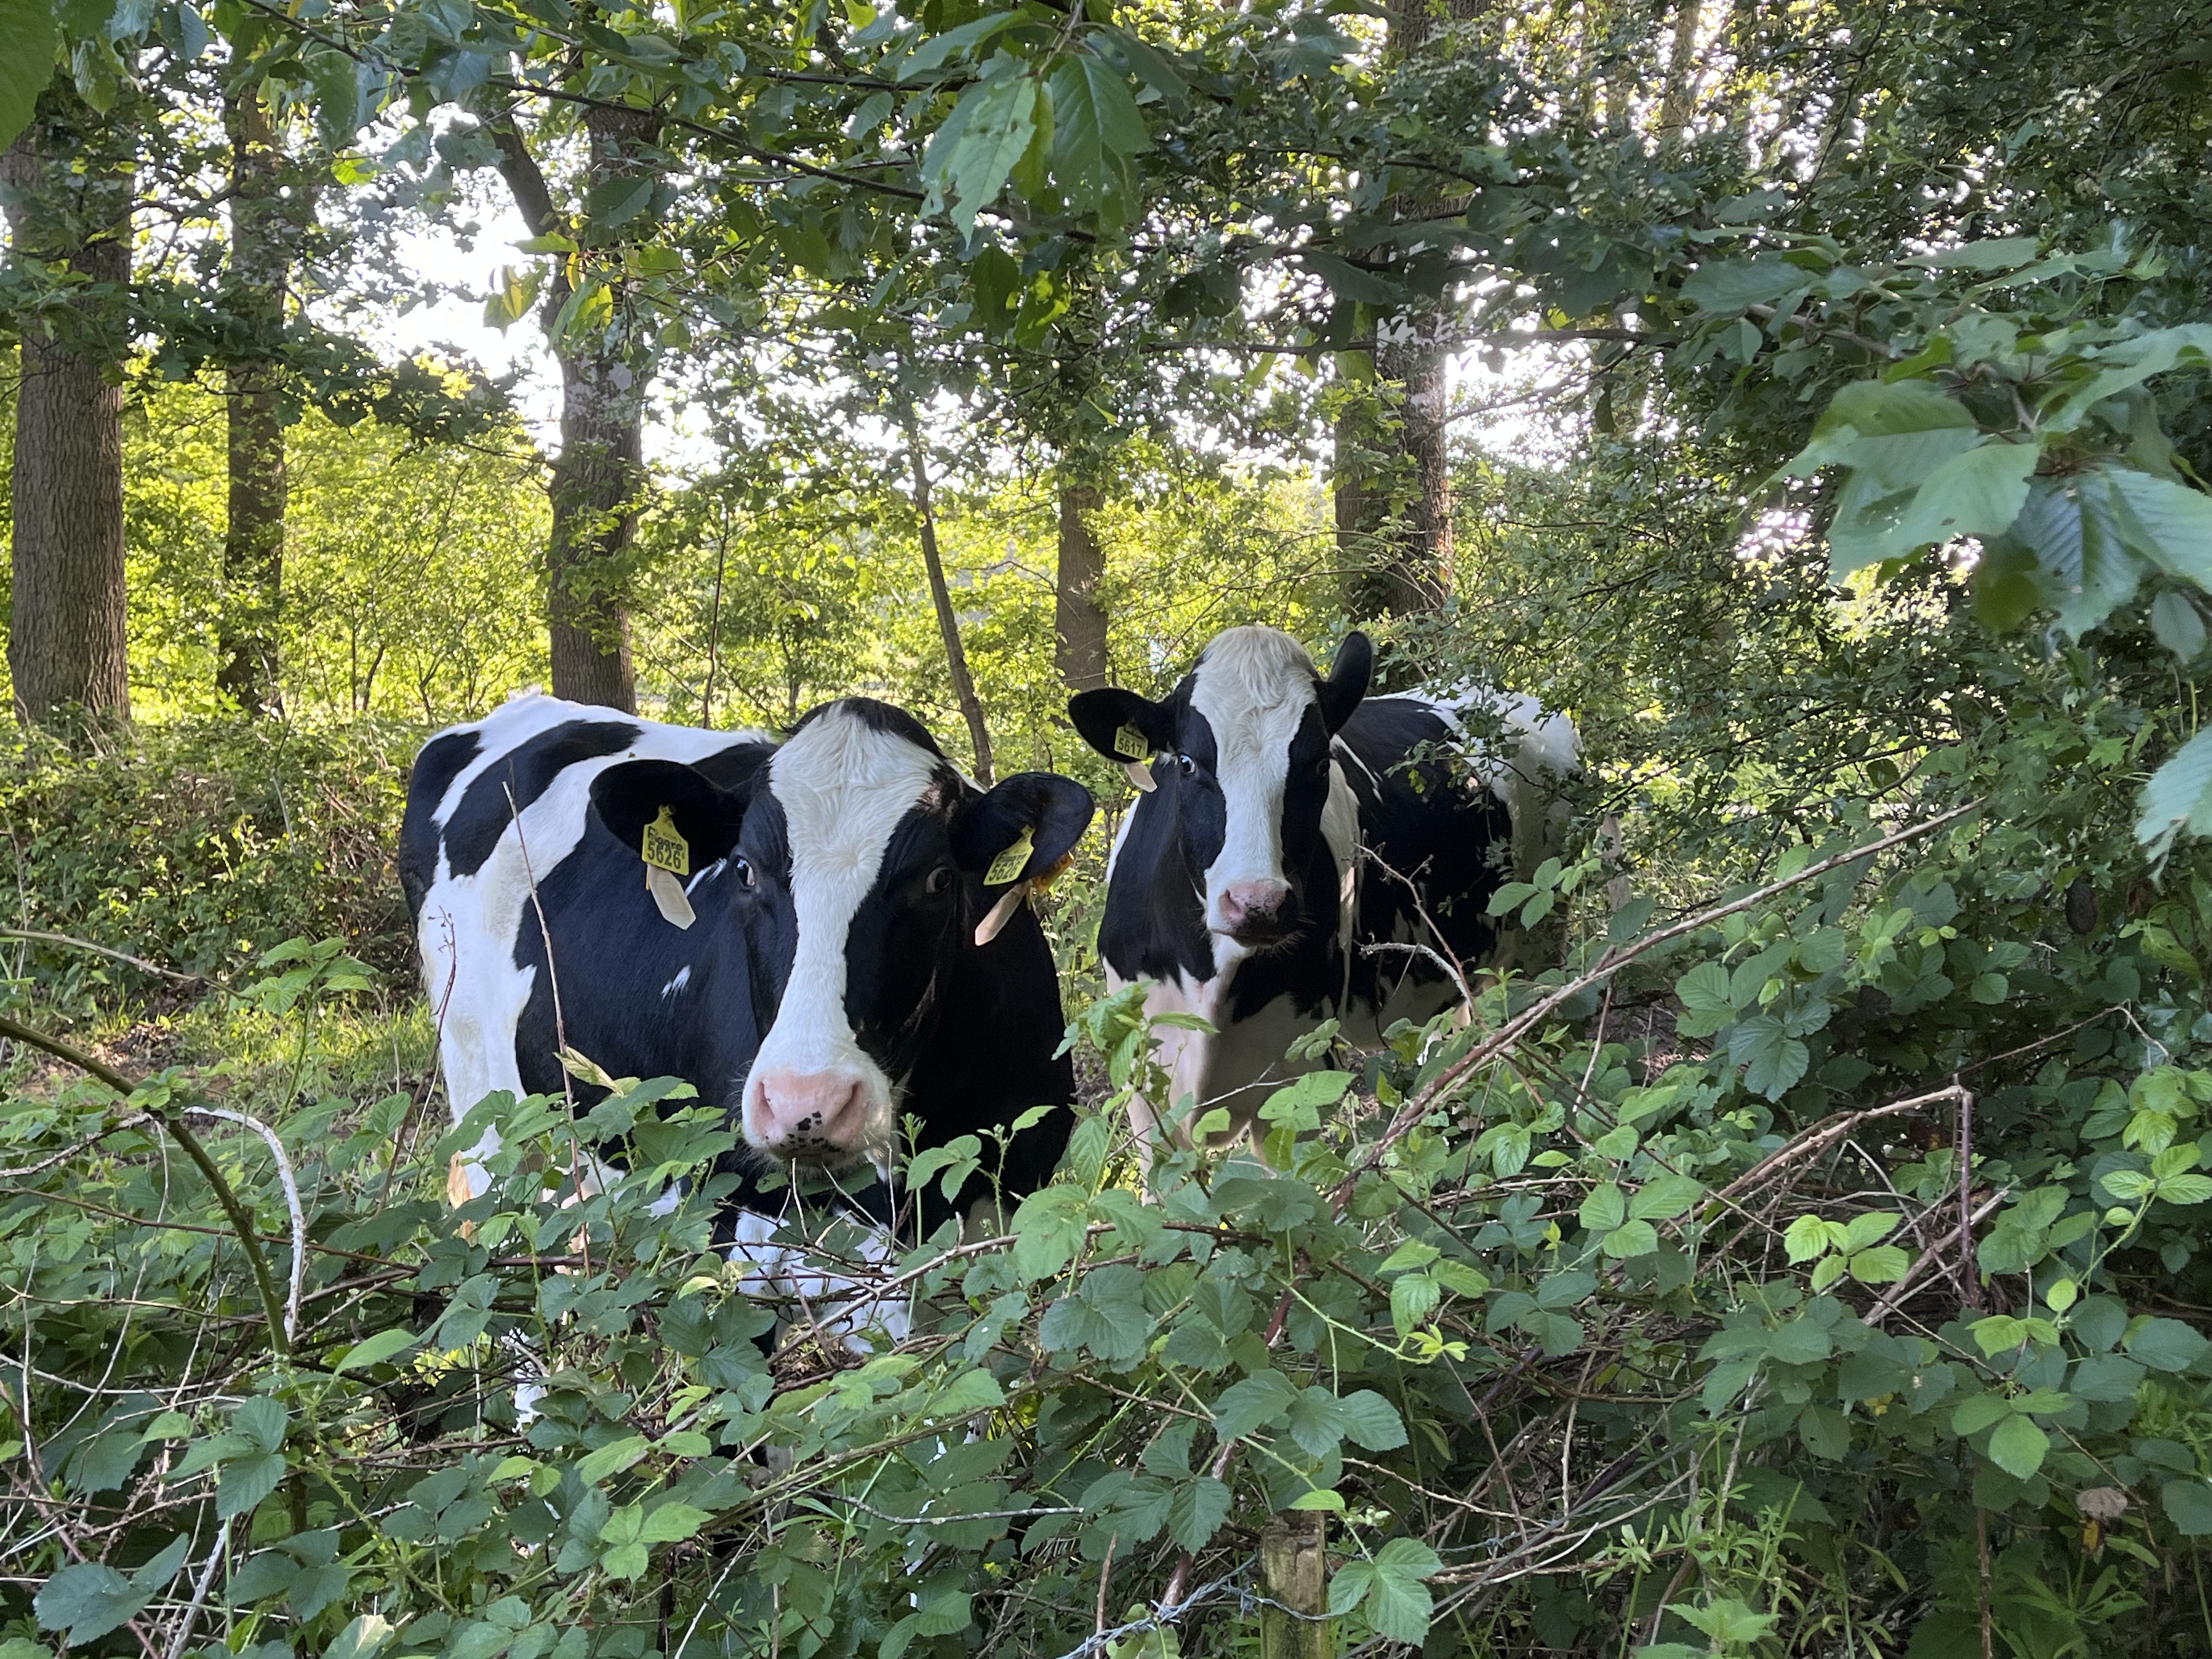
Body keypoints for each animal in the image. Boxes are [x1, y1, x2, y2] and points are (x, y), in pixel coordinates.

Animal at [1066, 625, 1576, 1154]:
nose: (1257, 904)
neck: (1210, 975)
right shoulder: (1144, 1089)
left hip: (1539, 942)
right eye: (1186, 763)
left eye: (1318, 764)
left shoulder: (1297, 1073)